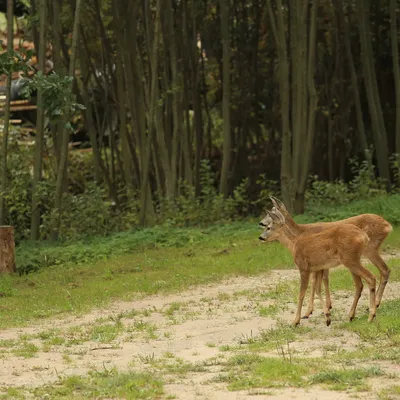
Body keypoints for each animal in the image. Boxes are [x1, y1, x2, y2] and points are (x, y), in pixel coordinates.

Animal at [260, 197, 390, 318]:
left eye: (272, 211)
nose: (260, 223)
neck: (300, 233)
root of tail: (388, 225)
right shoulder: (321, 263)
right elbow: (325, 280)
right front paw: (327, 307)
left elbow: (315, 282)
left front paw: (309, 311)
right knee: (382, 271)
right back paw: (372, 306)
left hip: (369, 250)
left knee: (382, 271)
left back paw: (373, 305)